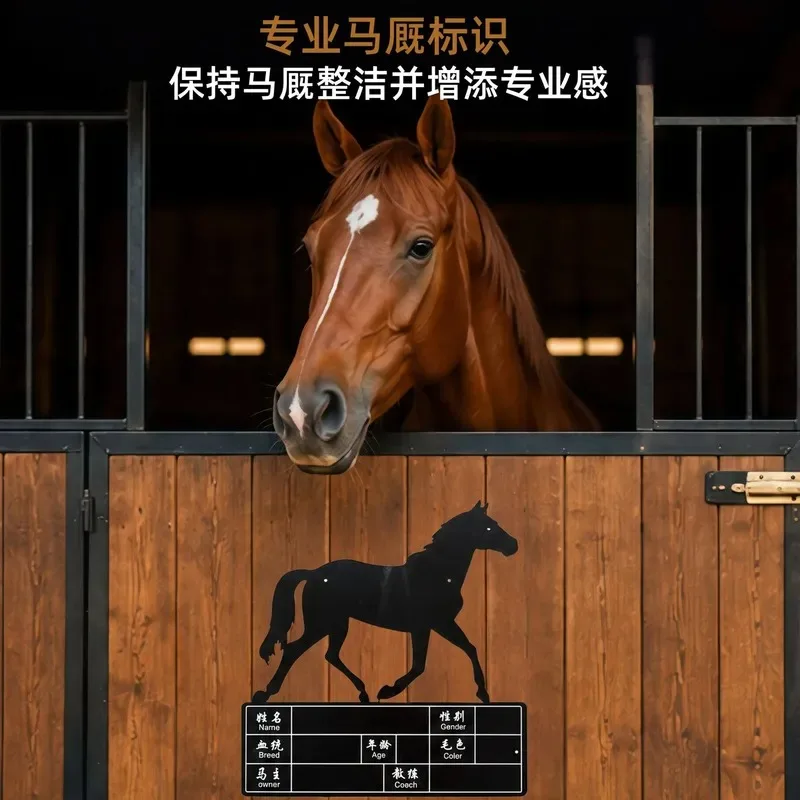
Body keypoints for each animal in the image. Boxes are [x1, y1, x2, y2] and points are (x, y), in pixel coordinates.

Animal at [252, 501, 518, 705]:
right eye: (489, 527)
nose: (513, 545)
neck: (437, 573)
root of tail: (314, 573)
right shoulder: (432, 625)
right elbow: (421, 664)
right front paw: (389, 690)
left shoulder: (438, 625)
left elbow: (467, 649)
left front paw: (483, 694)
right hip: (321, 625)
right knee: (294, 650)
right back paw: (265, 693)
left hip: (338, 624)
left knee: (331, 655)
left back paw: (363, 692)